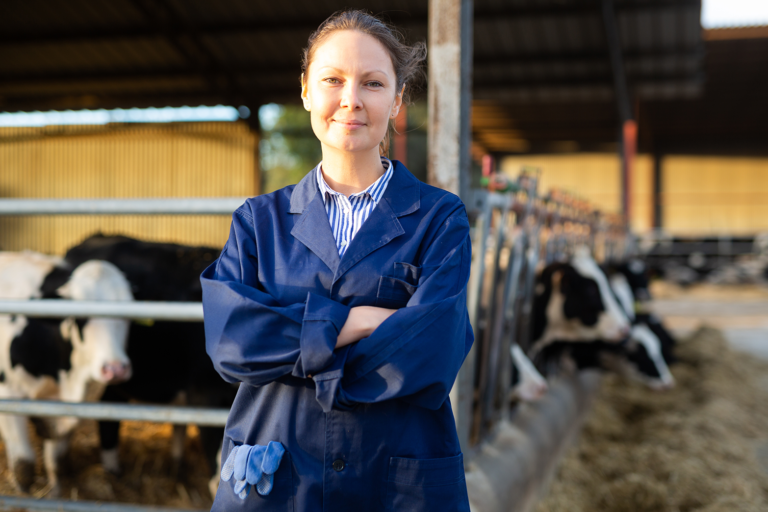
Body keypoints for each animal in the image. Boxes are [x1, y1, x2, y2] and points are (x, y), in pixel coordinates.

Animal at [0, 252, 132, 492]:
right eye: (80, 317)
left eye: (128, 315)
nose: (116, 369)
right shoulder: (8, 394)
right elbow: (24, 466)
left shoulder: (65, 406)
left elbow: (57, 462)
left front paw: (56, 493)